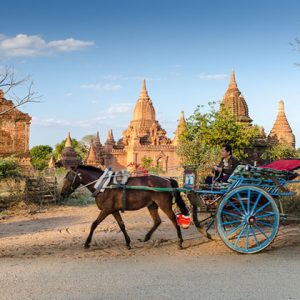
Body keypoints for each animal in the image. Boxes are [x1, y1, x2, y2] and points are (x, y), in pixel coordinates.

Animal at [60, 165, 190, 250]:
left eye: (68, 177)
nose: (62, 194)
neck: (104, 186)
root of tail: (167, 180)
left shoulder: (106, 210)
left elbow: (94, 224)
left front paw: (87, 243)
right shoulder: (114, 211)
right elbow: (122, 225)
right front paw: (128, 243)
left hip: (165, 205)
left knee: (174, 221)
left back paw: (180, 242)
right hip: (152, 205)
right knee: (157, 221)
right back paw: (146, 237)